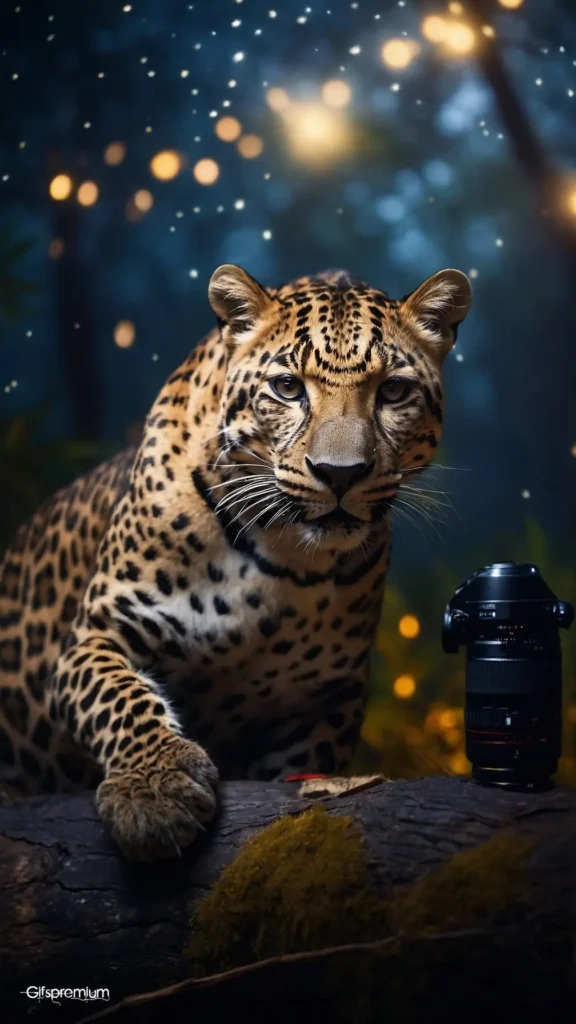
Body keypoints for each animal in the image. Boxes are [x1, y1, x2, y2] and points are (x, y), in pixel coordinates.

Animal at [0, 262, 472, 860]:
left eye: (393, 390)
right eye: (288, 388)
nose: (339, 474)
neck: (282, 554)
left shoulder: (325, 699)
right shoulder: (94, 635)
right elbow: (120, 699)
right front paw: (155, 789)